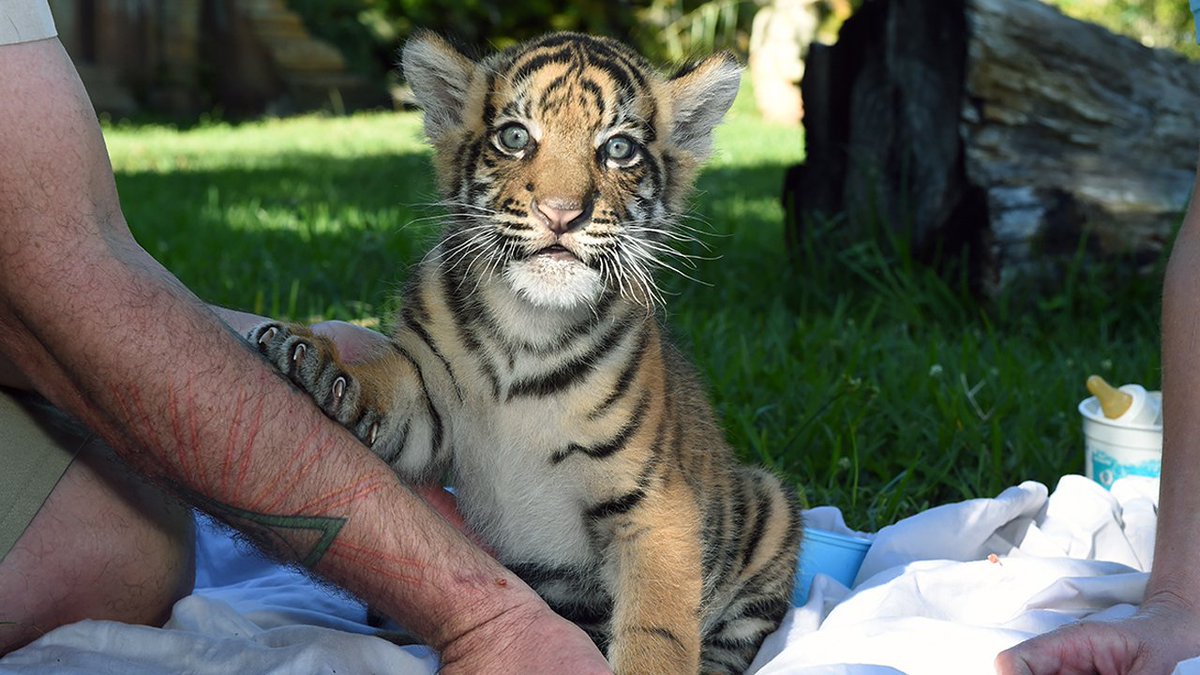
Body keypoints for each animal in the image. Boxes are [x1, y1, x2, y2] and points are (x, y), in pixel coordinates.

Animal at [249, 31, 802, 674]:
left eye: (618, 149)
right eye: (515, 137)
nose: (562, 212)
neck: (528, 328)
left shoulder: (653, 508)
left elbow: (657, 630)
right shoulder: (429, 409)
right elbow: (386, 386)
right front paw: (318, 365)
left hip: (770, 508)